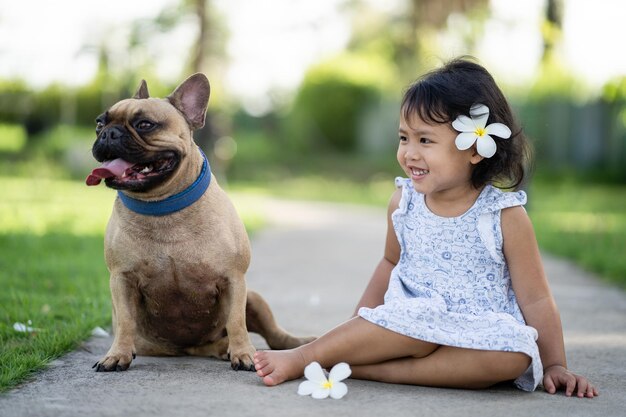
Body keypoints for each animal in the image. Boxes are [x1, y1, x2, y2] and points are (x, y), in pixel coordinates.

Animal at [86, 74, 310, 370]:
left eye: (145, 124)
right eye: (99, 123)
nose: (108, 133)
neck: (163, 205)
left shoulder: (233, 279)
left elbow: (236, 321)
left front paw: (244, 353)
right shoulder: (122, 280)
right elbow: (124, 321)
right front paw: (116, 355)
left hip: (255, 298)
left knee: (274, 335)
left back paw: (290, 343)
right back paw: (223, 348)